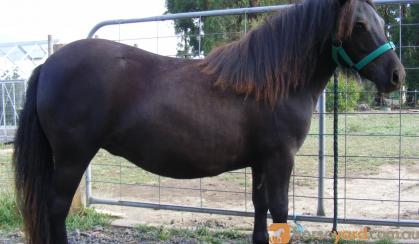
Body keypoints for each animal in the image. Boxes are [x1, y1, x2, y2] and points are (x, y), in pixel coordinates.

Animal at [14, 0, 406, 243]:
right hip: (72, 157)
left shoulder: (261, 161)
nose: (397, 76)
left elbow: (260, 207)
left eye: (381, 22)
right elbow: (280, 210)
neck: (271, 82)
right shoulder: (281, 159)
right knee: (56, 208)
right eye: (359, 25)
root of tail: (48, 64)